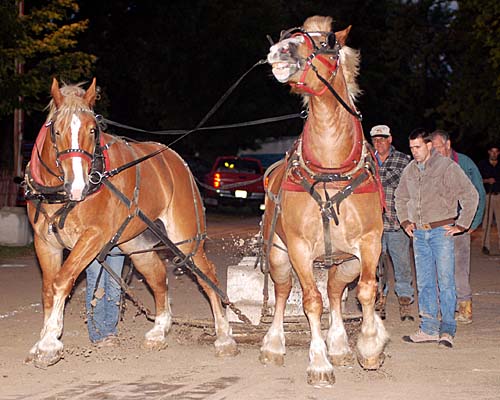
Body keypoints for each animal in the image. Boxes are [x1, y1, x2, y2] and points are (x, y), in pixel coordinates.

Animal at [24, 78, 239, 368]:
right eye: (56, 132)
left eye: (93, 130)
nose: (78, 186)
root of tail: (175, 159)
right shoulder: (45, 243)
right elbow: (48, 288)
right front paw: (43, 340)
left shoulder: (93, 236)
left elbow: (62, 281)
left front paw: (49, 345)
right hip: (135, 243)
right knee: (157, 276)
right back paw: (159, 331)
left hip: (186, 237)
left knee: (207, 276)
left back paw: (224, 336)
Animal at [262, 16, 390, 388]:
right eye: (288, 36)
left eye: (328, 42)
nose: (279, 51)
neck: (332, 172)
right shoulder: (299, 249)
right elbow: (311, 302)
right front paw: (319, 363)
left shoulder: (369, 244)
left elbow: (365, 292)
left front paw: (370, 346)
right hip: (278, 254)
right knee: (282, 290)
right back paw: (273, 344)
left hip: (344, 261)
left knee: (335, 290)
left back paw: (340, 344)